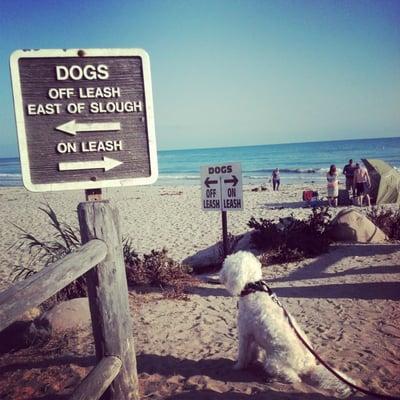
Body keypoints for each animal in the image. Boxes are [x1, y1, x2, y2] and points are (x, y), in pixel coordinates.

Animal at [220, 250, 354, 396]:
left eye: (226, 265)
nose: (220, 275)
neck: (253, 288)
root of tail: (310, 366)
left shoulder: (244, 334)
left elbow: (243, 354)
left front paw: (238, 367)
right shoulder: (253, 336)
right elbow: (253, 351)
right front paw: (252, 360)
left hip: (273, 362)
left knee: (294, 378)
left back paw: (273, 379)